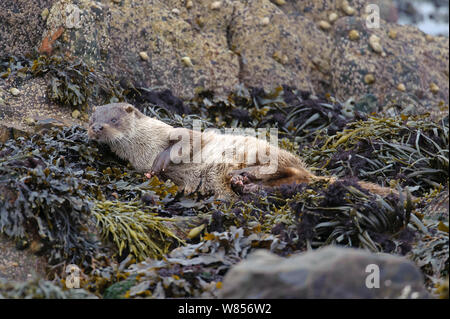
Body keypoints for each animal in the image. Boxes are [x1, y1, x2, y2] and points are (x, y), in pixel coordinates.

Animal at [88, 103, 398, 200]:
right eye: (92, 118)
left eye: (114, 118)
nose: (96, 128)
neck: (145, 146)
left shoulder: (174, 132)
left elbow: (186, 141)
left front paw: (162, 160)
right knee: (291, 181)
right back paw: (245, 184)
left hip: (269, 153)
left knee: (292, 172)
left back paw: (246, 175)